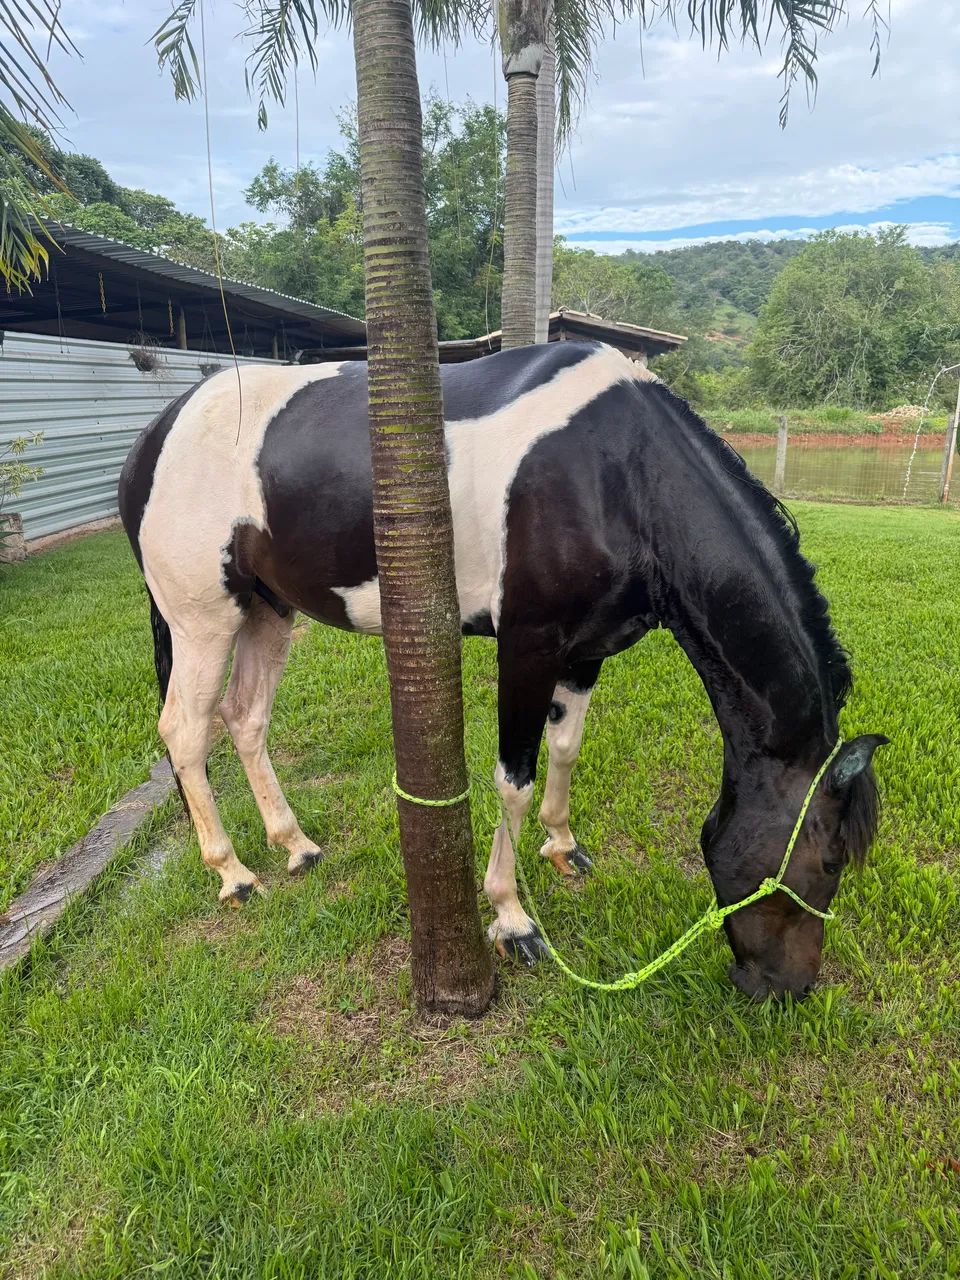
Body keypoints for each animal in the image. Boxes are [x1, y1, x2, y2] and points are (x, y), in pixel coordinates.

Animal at [118, 340, 887, 1001]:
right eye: (830, 863)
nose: (787, 989)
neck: (619, 472)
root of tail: (156, 433)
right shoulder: (527, 645)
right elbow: (513, 781)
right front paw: (512, 919)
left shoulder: (585, 652)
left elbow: (566, 749)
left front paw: (563, 845)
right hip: (203, 621)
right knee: (185, 731)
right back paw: (233, 872)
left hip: (268, 610)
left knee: (245, 718)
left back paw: (295, 845)